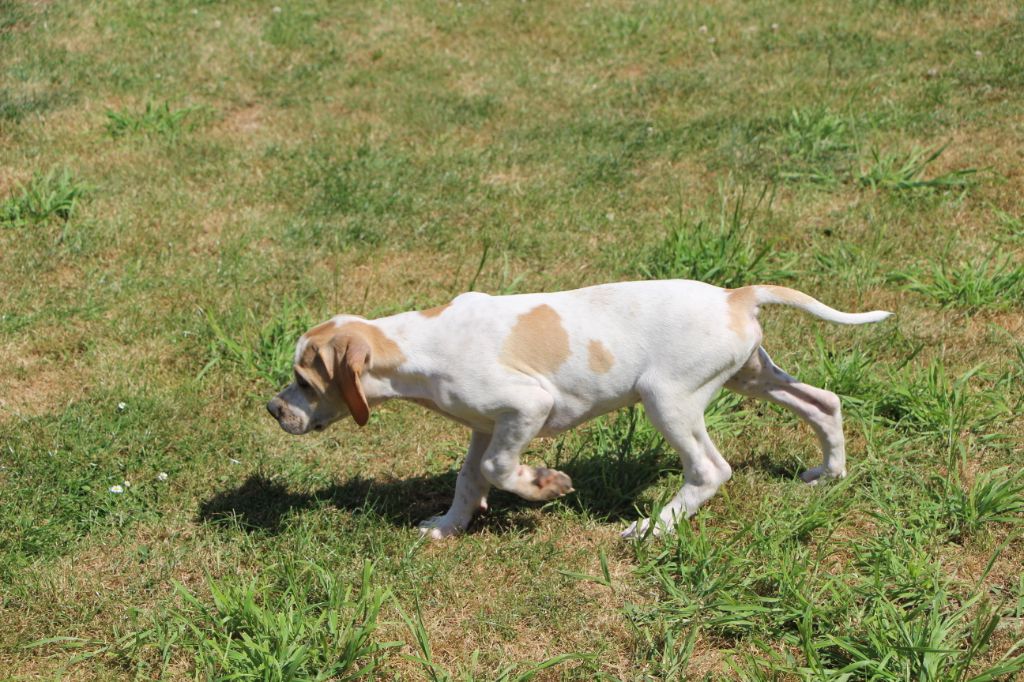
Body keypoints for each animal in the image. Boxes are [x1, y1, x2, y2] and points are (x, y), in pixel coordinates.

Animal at [267, 280, 891, 539]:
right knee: (824, 402)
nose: (273, 410)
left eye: (303, 380)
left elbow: (497, 469)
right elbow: (470, 479)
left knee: (711, 471)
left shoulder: (527, 405)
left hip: (668, 398)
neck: (418, 345)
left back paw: (652, 530)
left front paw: (544, 485)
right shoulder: (487, 425)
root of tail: (735, 296)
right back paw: (830, 474)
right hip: (751, 375)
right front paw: (447, 528)